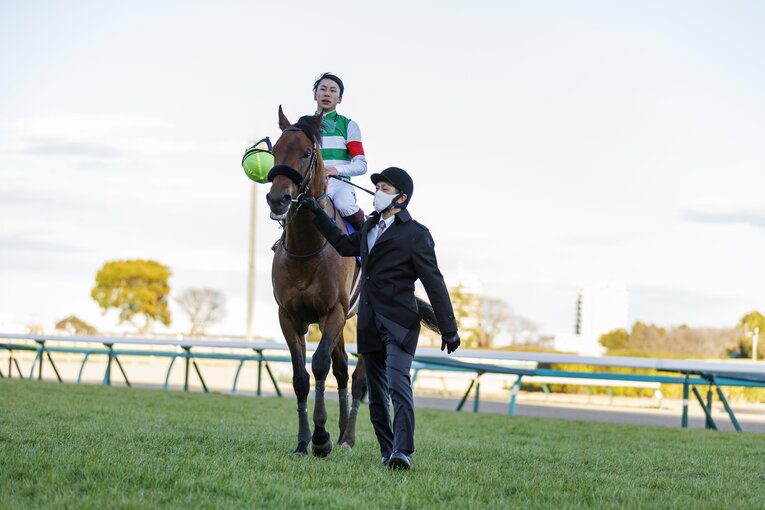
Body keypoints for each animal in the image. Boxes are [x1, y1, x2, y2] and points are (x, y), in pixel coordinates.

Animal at [265, 107, 366, 456]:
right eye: (275, 151)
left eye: (307, 152)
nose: (277, 198)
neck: (308, 249)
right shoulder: (288, 316)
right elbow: (300, 377)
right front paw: (302, 441)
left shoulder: (333, 311)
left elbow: (319, 365)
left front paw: (321, 439)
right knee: (343, 368)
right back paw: (342, 431)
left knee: (358, 377)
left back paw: (348, 438)